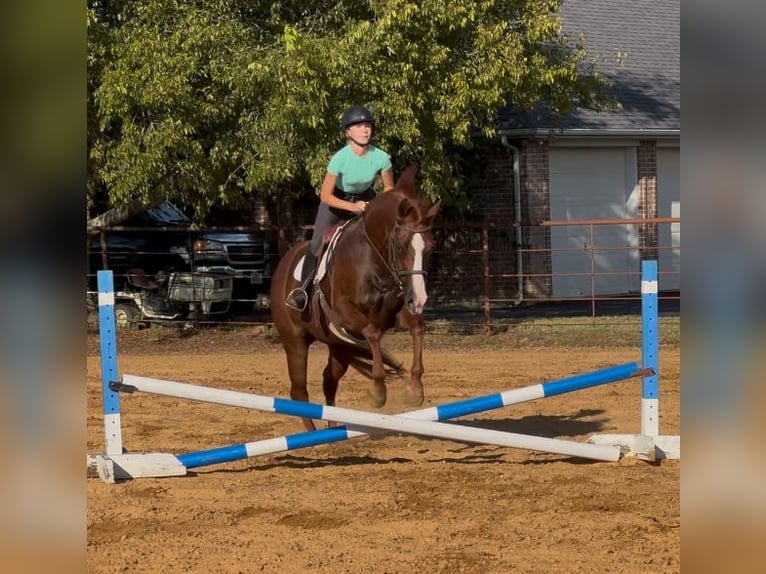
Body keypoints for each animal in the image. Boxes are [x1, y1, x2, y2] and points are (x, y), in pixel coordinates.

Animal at [270, 165, 442, 430]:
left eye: (430, 248)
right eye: (401, 247)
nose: (419, 299)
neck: (374, 263)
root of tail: (282, 266)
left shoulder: (395, 315)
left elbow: (417, 328)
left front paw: (415, 388)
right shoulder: (345, 316)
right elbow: (372, 334)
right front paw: (378, 393)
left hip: (339, 346)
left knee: (329, 381)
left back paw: (331, 427)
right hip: (295, 341)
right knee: (299, 391)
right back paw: (313, 435)